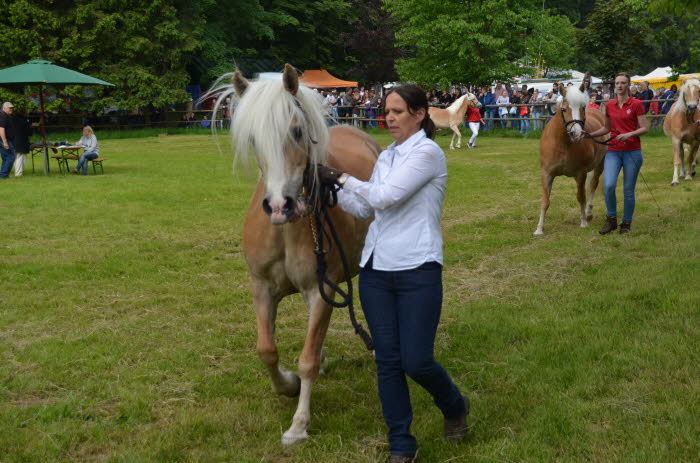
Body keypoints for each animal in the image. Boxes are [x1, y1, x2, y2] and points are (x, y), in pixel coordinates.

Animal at [223, 64, 378, 446]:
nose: (281, 205)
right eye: (253, 139)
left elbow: (306, 359)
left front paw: (299, 424)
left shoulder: (320, 292)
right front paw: (288, 385)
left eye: (296, 130)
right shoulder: (262, 288)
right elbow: (267, 350)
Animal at [532, 83, 608, 236]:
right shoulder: (546, 174)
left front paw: (583, 222)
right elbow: (545, 201)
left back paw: (588, 213)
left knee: (593, 185)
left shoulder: (581, 173)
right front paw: (539, 229)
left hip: (600, 164)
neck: (563, 144)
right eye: (564, 109)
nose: (576, 133)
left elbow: (581, 197)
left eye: (582, 107)